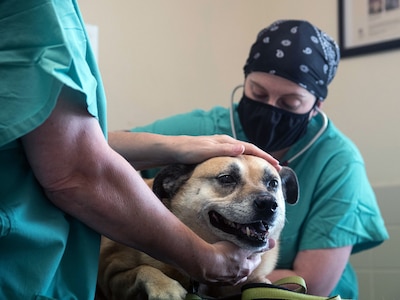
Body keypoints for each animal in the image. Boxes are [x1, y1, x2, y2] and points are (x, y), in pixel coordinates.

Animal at [96, 155, 296, 300]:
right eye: (227, 178)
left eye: (273, 183)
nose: (269, 204)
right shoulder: (111, 277)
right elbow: (143, 270)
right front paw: (165, 288)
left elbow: (262, 283)